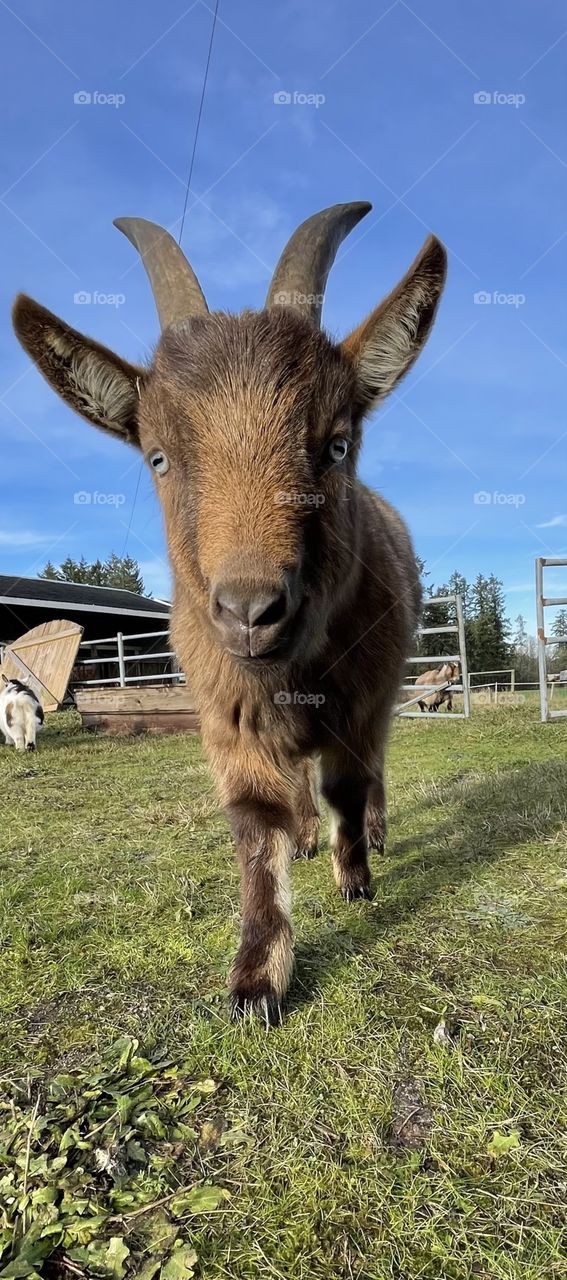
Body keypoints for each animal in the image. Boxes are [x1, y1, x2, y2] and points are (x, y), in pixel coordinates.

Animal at [13, 200, 446, 1023]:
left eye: (337, 444)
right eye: (157, 457)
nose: (252, 611)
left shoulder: (360, 697)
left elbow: (348, 783)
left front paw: (355, 881)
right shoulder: (226, 708)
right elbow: (256, 819)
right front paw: (256, 978)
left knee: (369, 770)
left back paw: (368, 839)